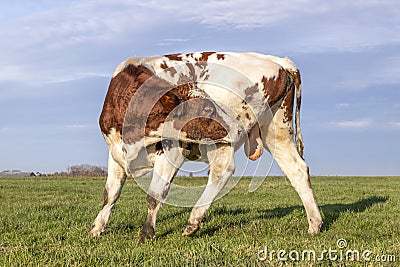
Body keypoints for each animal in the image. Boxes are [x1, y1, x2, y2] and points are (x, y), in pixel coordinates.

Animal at [89, 51, 324, 243]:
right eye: (205, 109)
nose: (237, 128)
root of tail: (277, 61)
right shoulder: (116, 152)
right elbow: (110, 193)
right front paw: (96, 229)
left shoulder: (172, 150)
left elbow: (155, 194)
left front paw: (146, 233)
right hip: (276, 131)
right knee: (297, 170)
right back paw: (315, 224)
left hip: (227, 139)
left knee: (223, 170)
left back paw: (193, 220)